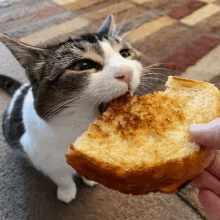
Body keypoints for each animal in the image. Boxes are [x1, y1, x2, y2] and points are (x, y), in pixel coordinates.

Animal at [0, 15, 143, 203]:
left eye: (125, 54)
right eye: (83, 65)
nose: (127, 72)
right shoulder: (40, 156)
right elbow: (62, 178)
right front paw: (66, 192)